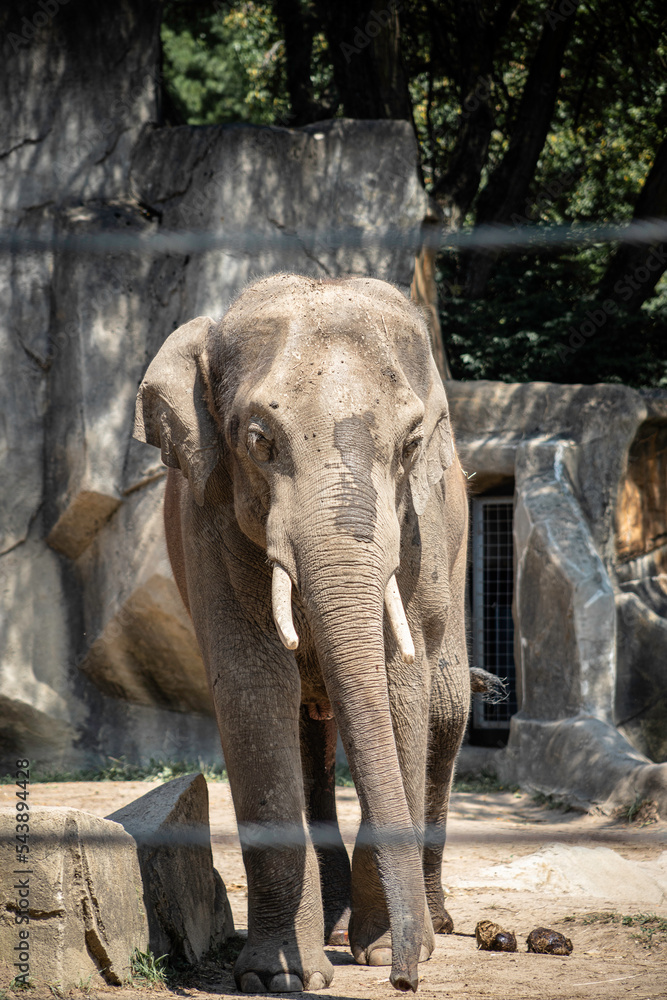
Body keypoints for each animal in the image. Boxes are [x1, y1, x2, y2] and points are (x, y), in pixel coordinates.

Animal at [133, 274, 470, 993]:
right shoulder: (209, 520)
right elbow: (254, 688)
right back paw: (338, 936)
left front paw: (381, 951)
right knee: (306, 725)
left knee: (446, 709)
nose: (404, 982)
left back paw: (429, 926)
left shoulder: (417, 529)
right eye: (260, 441)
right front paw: (278, 978)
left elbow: (400, 688)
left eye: (409, 445)